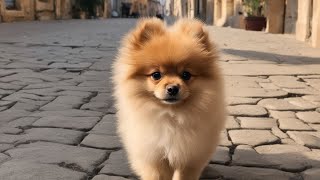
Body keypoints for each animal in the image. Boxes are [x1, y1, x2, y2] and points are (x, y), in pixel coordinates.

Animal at [112, 17, 225, 180]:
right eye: (156, 75)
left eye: (186, 75)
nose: (172, 88)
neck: (171, 116)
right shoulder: (154, 157)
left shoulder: (189, 156)